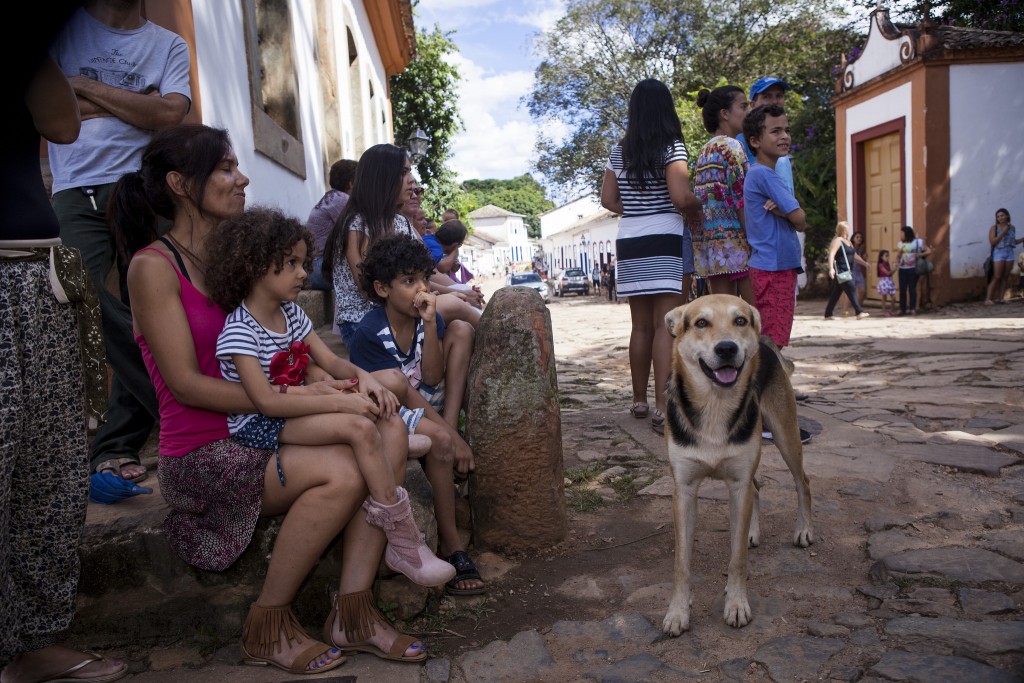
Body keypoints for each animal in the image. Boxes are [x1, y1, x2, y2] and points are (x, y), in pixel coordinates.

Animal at [659, 294, 811, 634]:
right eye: (701, 322)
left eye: (740, 320)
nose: (727, 348)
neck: (715, 404)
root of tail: (767, 345)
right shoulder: (684, 490)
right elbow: (681, 563)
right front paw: (677, 611)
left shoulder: (738, 483)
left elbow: (737, 557)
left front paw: (737, 603)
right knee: (758, 485)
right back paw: (755, 532)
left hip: (785, 435)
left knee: (802, 482)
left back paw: (804, 530)